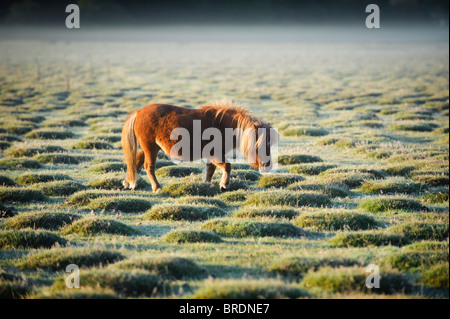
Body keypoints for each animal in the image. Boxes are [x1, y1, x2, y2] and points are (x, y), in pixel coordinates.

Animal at [121, 100, 276, 192]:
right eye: (259, 143)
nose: (266, 164)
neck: (223, 125)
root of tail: (138, 113)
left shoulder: (212, 155)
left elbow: (210, 170)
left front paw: (207, 185)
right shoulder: (215, 154)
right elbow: (227, 166)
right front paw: (224, 185)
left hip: (149, 147)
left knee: (136, 163)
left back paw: (128, 183)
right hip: (150, 147)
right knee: (148, 166)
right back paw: (157, 187)